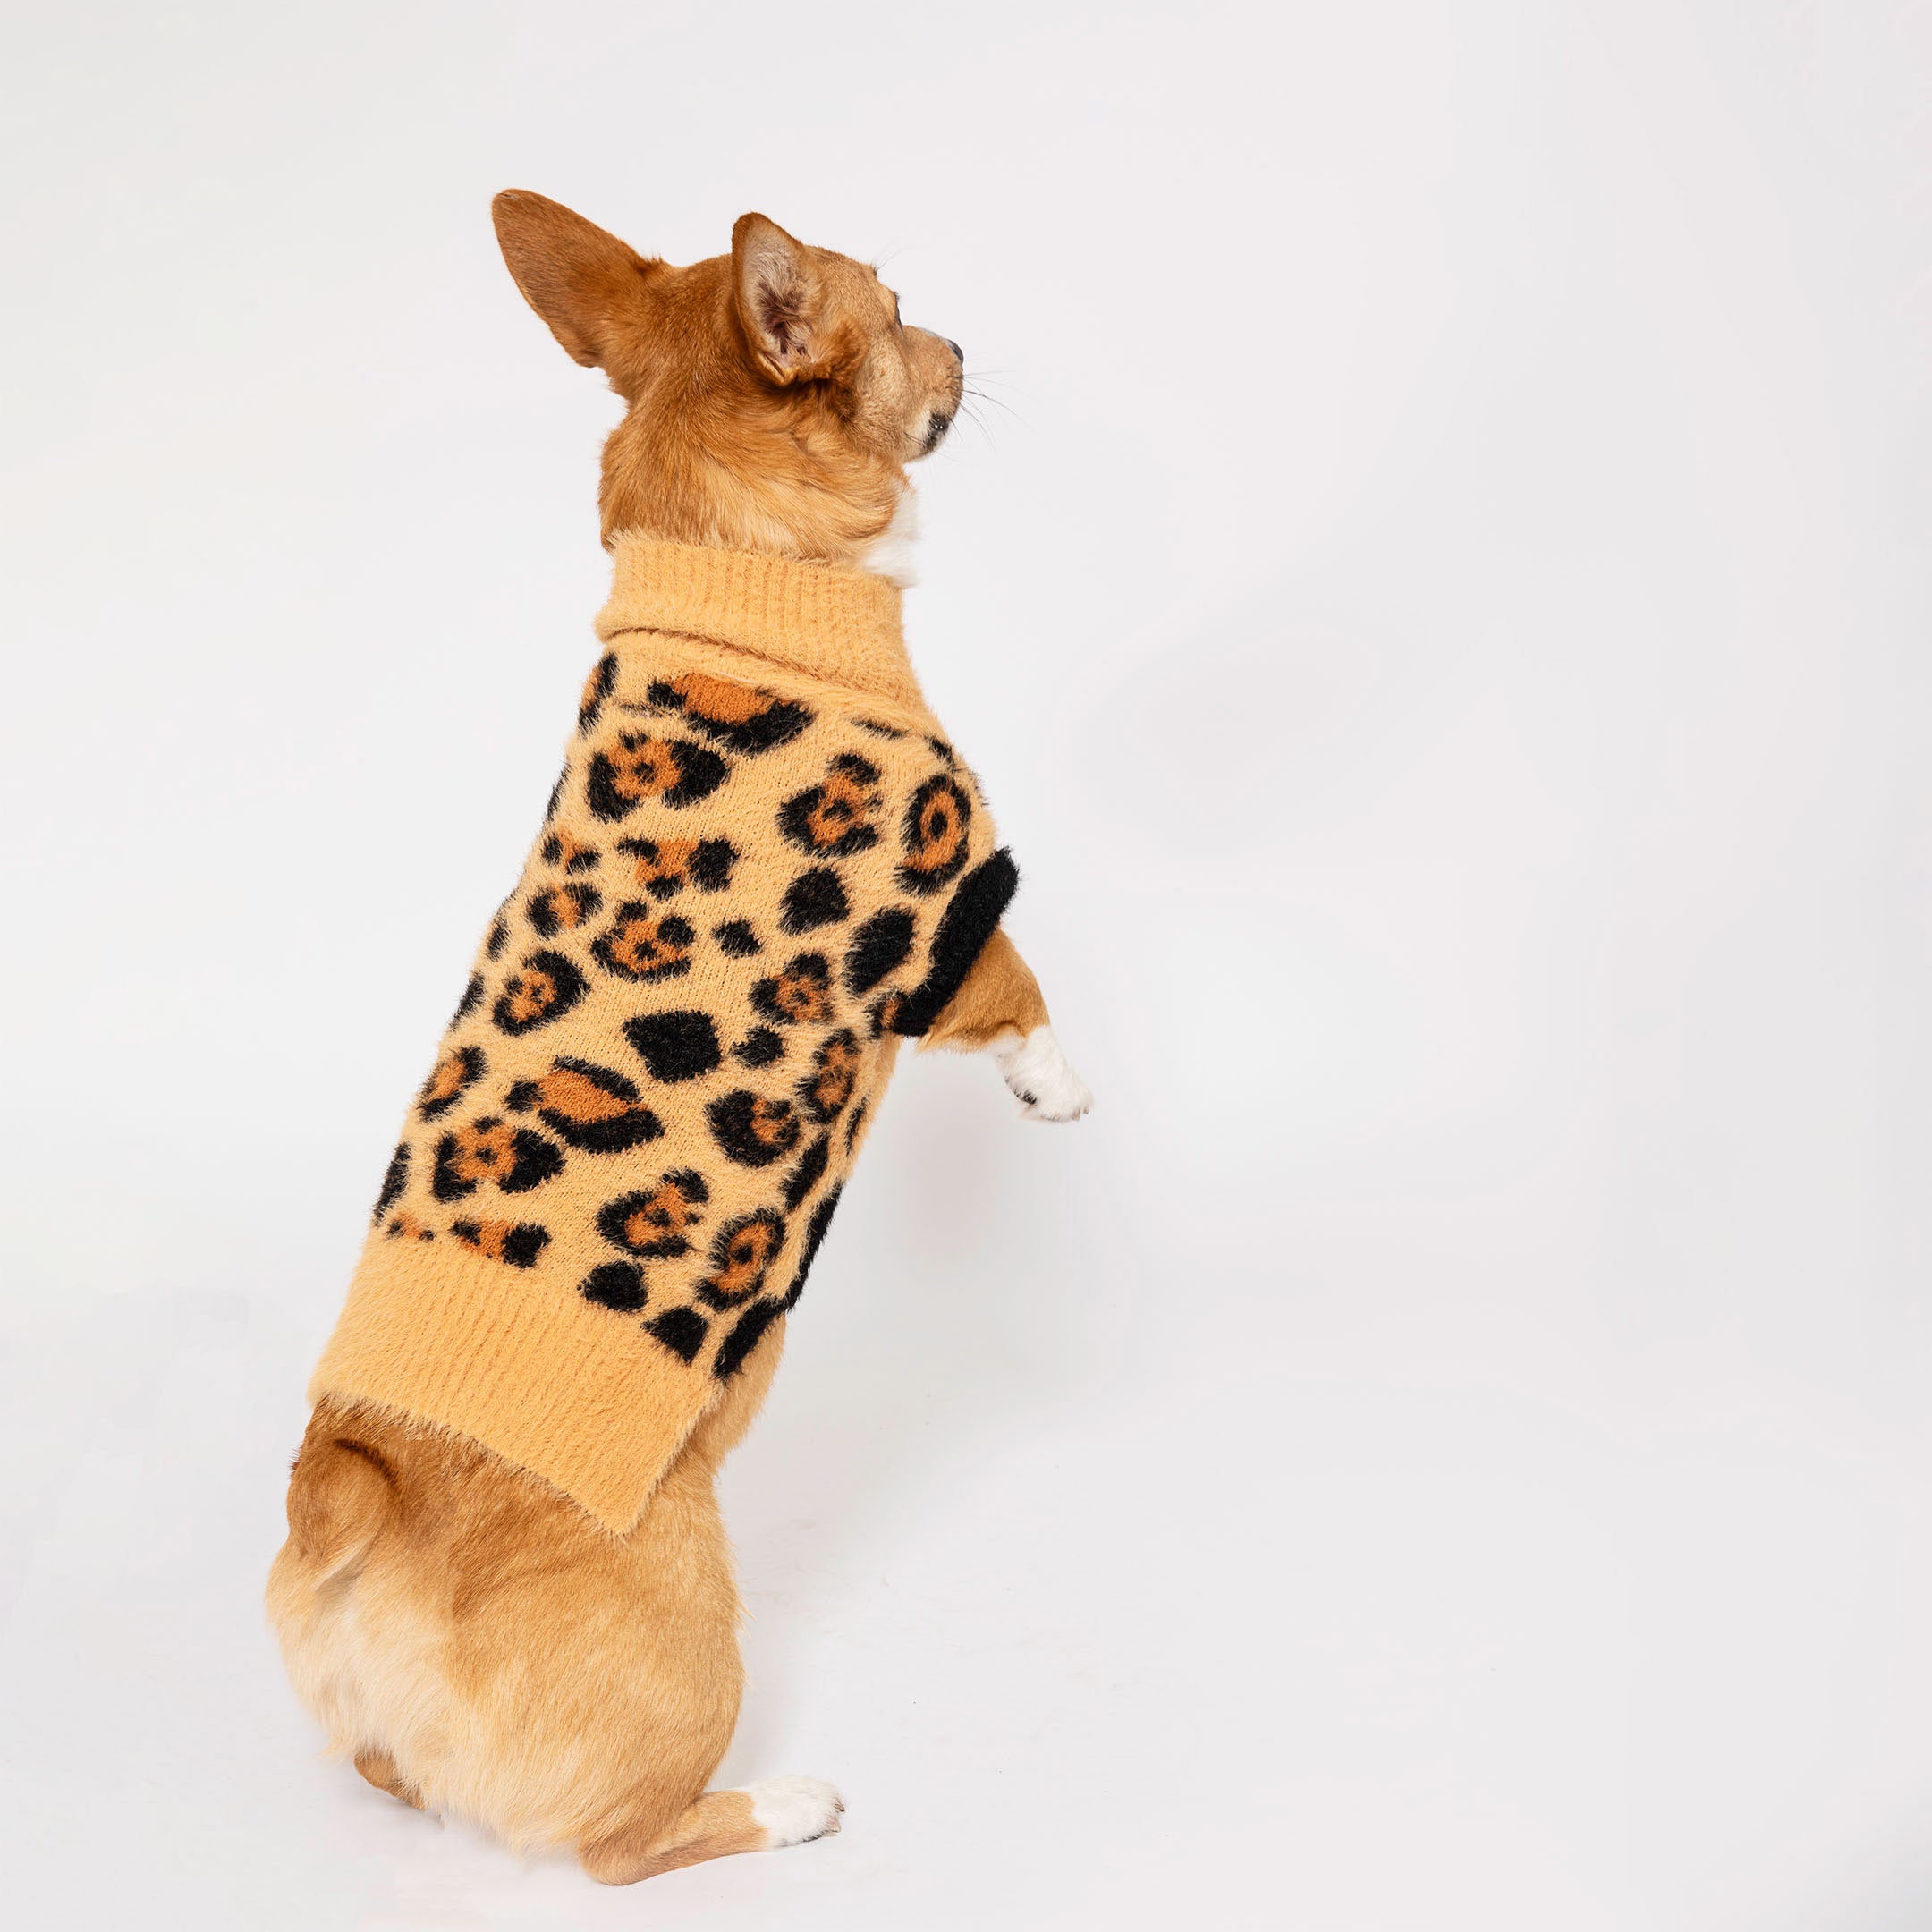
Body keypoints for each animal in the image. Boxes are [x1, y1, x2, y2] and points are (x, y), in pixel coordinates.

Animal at [264, 196, 1097, 1885]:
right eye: (896, 310)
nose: (960, 340)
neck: (730, 562)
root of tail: (351, 1491)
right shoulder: (947, 899)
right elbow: (1018, 988)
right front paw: (1060, 1084)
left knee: (393, 1774)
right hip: (696, 1630)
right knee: (625, 1845)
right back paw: (788, 1806)